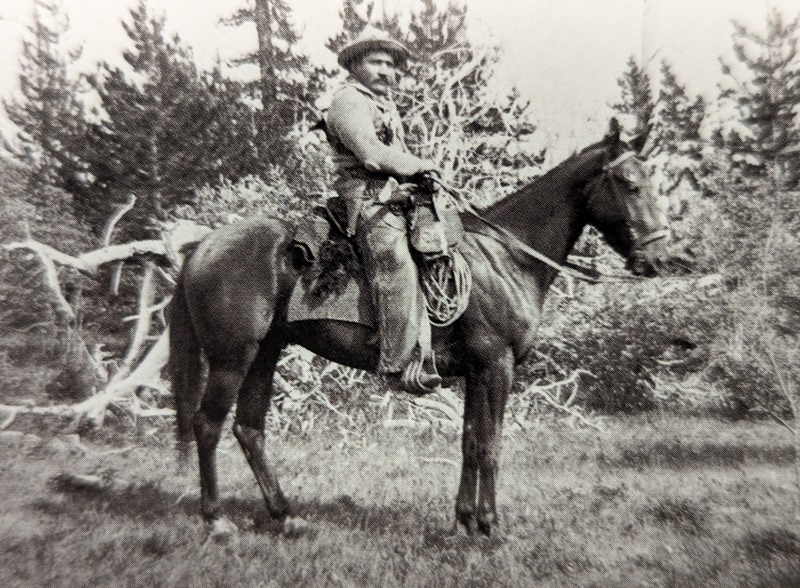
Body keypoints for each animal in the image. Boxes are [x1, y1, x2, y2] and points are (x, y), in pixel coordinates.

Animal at [168, 118, 688, 537]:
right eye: (629, 183)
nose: (660, 258)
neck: (506, 258)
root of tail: (202, 246)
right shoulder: (497, 367)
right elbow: (492, 445)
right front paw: (491, 527)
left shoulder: (477, 372)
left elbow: (470, 443)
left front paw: (464, 522)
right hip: (232, 358)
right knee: (208, 425)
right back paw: (217, 520)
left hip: (265, 353)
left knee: (249, 429)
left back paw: (286, 516)